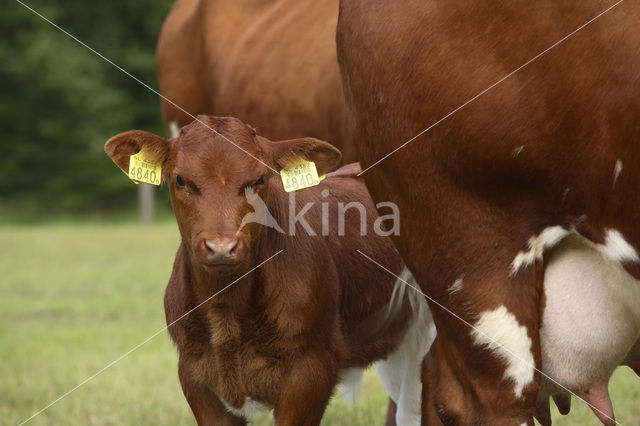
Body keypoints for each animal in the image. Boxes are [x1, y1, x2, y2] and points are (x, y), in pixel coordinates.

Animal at [106, 115, 436, 424]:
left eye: (260, 179)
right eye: (180, 180)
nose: (222, 246)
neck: (227, 315)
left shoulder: (310, 371)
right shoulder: (196, 377)